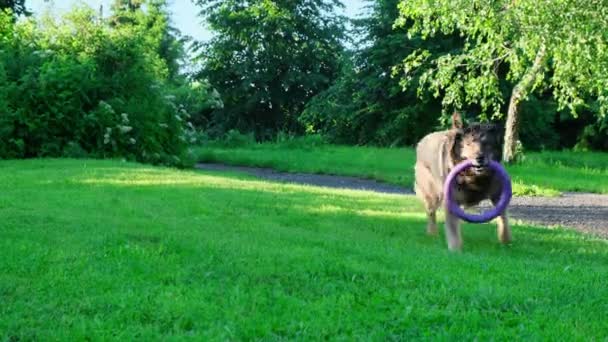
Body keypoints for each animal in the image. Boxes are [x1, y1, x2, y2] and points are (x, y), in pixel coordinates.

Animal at [416, 113, 510, 251]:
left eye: (486, 144)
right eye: (469, 143)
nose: (480, 157)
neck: (474, 177)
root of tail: (422, 141)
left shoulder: (498, 195)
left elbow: (503, 219)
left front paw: (506, 242)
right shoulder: (450, 200)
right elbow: (453, 229)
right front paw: (455, 250)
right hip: (432, 195)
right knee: (431, 213)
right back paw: (432, 233)